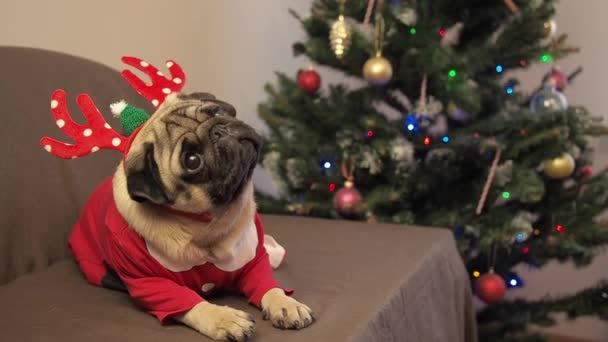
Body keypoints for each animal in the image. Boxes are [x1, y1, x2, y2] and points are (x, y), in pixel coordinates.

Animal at [67, 92, 314, 340]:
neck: (209, 227)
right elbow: (193, 304)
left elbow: (267, 284)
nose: (220, 132)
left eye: (217, 111)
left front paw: (285, 303)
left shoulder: (253, 259)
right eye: (192, 161)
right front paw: (224, 319)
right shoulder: (150, 282)